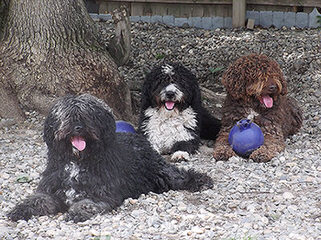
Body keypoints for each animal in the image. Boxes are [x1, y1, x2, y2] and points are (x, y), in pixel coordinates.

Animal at [6, 94, 212, 223]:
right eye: (67, 115)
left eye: (87, 115)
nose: (78, 127)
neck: (77, 160)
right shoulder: (50, 190)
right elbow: (37, 199)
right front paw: (20, 209)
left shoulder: (101, 194)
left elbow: (88, 204)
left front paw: (77, 212)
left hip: (161, 172)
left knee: (179, 175)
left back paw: (201, 180)